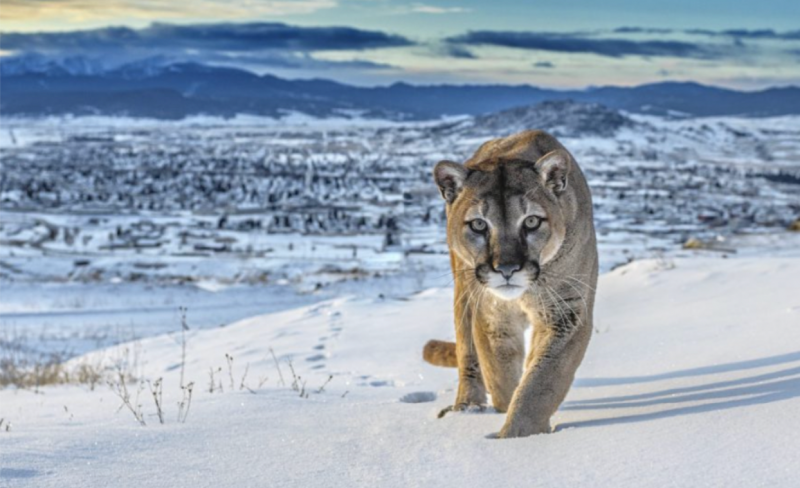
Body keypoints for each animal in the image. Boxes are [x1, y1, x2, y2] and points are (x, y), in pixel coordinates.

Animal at [424, 130, 592, 438]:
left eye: (532, 221)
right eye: (479, 224)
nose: (506, 269)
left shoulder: (566, 311)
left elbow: (541, 382)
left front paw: (517, 435)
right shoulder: (491, 313)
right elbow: (499, 371)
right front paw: (504, 415)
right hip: (463, 291)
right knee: (467, 353)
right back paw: (468, 407)